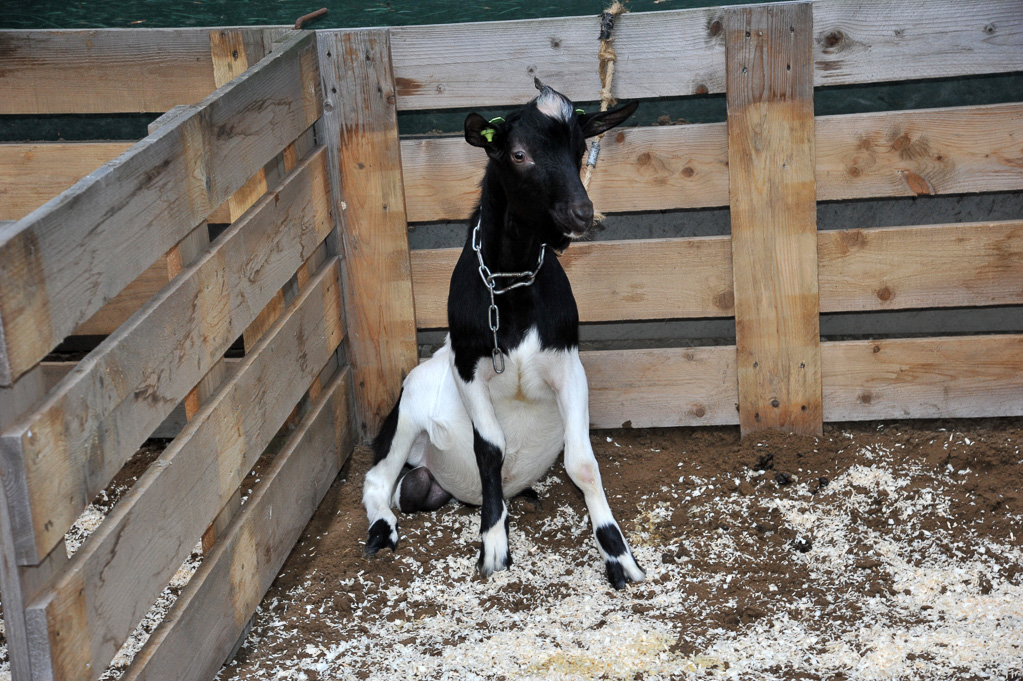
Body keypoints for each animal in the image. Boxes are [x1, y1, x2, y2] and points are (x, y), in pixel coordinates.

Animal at [364, 79, 642, 584]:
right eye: (518, 154)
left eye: (580, 148)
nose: (581, 212)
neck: (511, 287)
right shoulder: (468, 367)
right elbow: (490, 449)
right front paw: (493, 545)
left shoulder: (568, 365)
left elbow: (583, 464)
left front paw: (619, 554)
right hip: (406, 413)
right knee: (378, 480)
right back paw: (382, 530)